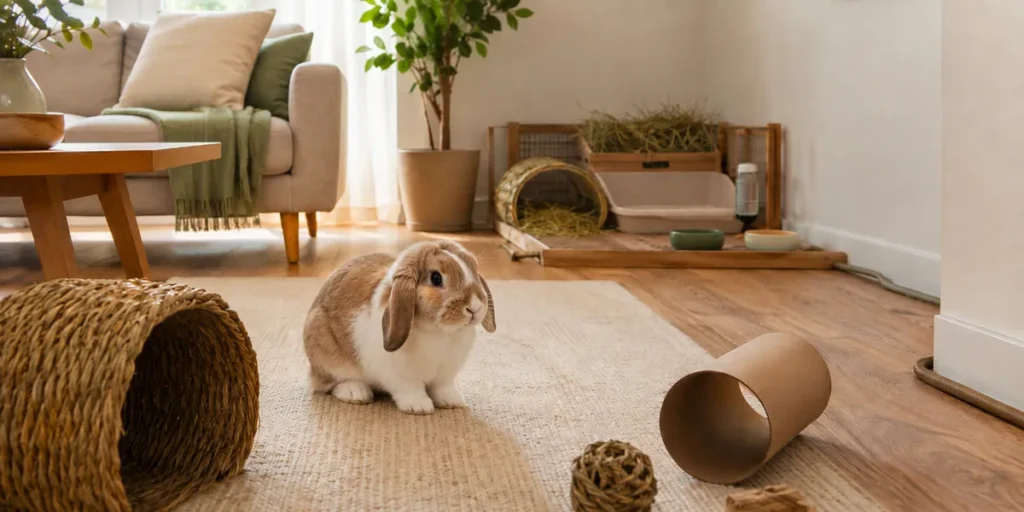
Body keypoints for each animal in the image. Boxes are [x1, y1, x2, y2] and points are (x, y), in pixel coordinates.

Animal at [303, 240, 497, 415]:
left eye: (474, 269)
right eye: (436, 278)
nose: (475, 307)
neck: (440, 332)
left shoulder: (445, 375)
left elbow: (443, 388)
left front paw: (452, 401)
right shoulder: (400, 376)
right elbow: (410, 389)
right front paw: (419, 407)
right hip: (327, 355)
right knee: (330, 383)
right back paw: (355, 393)